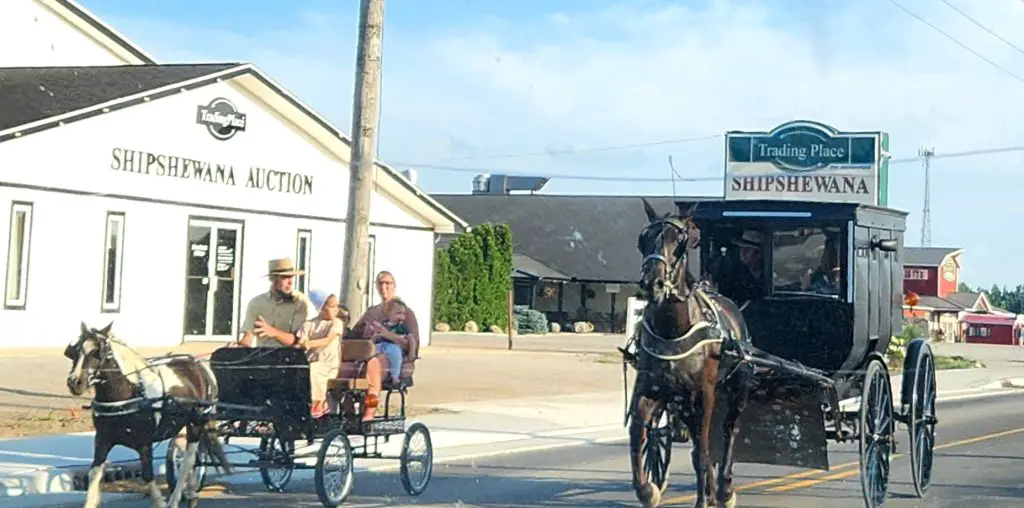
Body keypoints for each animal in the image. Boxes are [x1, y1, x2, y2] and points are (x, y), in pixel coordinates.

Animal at [67, 321, 231, 508]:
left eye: (97, 352)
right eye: (75, 351)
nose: (74, 382)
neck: (129, 394)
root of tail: (196, 364)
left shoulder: (144, 442)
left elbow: (147, 476)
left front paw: (161, 502)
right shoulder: (103, 439)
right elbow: (94, 473)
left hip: (195, 424)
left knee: (188, 461)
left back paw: (177, 499)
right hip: (179, 427)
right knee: (187, 458)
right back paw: (191, 494)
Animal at [622, 199, 753, 508]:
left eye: (680, 242)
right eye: (643, 240)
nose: (652, 284)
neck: (673, 329)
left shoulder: (704, 393)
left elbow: (703, 452)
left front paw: (705, 499)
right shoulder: (652, 388)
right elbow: (638, 433)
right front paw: (647, 490)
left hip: (736, 388)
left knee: (729, 432)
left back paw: (724, 489)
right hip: (684, 402)